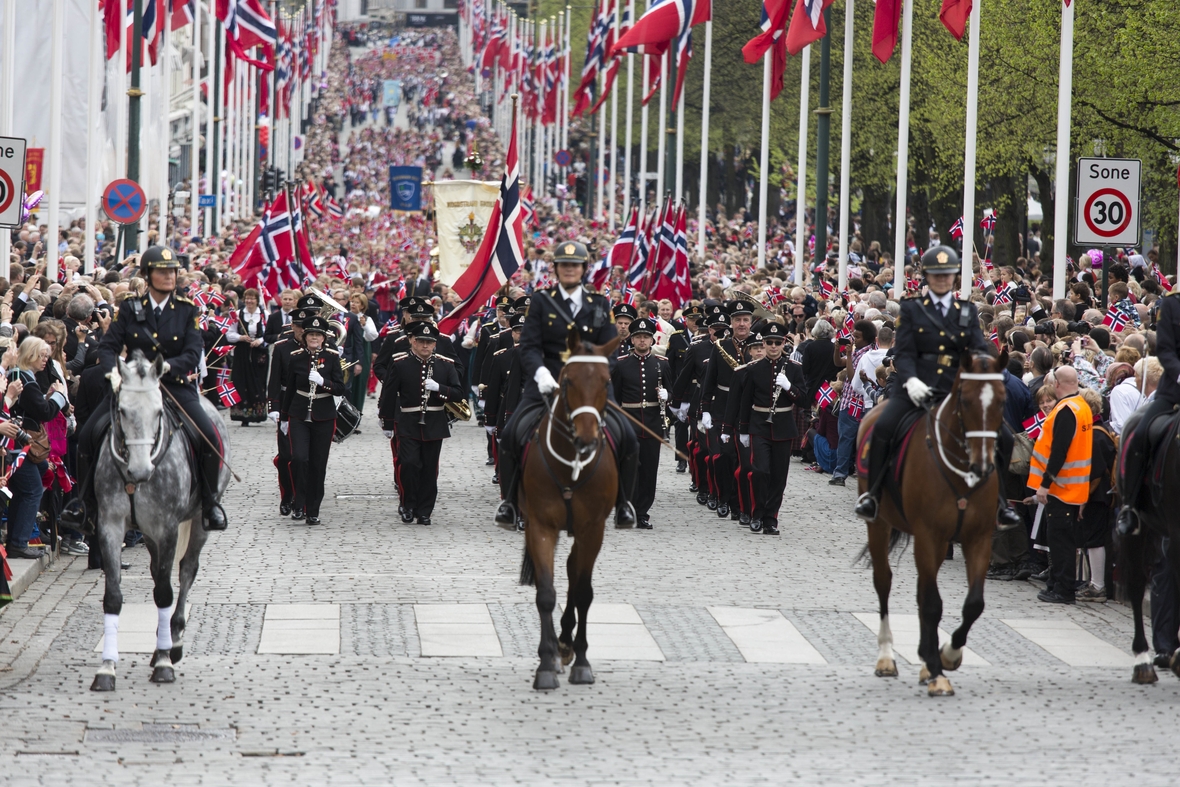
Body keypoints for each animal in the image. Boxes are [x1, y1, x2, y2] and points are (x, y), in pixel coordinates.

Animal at [89, 351, 230, 689]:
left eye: (157, 411)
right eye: (122, 410)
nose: (141, 471)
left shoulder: (167, 528)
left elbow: (166, 592)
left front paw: (165, 662)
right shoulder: (110, 526)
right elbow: (113, 597)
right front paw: (107, 668)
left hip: (197, 521)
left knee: (186, 570)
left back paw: (173, 641)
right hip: (148, 533)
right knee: (156, 572)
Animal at [521, 325, 623, 689]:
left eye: (607, 381)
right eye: (567, 382)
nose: (587, 439)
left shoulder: (593, 528)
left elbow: (583, 592)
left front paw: (581, 661)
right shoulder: (540, 525)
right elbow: (546, 591)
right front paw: (546, 663)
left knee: (573, 569)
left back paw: (567, 642)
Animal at [854, 353, 1010, 698]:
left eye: (1001, 400)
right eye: (965, 400)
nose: (982, 465)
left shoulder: (978, 539)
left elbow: (973, 604)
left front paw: (947, 656)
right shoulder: (929, 536)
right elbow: (932, 604)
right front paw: (939, 671)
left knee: (921, 590)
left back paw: (926, 661)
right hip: (880, 524)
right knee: (884, 581)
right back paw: (887, 657)